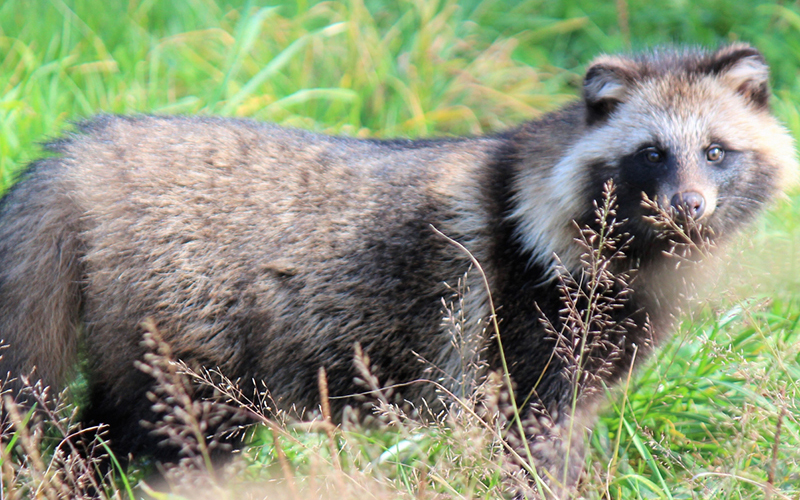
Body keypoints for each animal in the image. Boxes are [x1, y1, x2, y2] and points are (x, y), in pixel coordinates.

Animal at [0, 44, 796, 492]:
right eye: (651, 153)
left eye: (717, 151)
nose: (689, 206)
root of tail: (86, 153)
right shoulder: (523, 341)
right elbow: (533, 450)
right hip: (193, 365)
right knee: (156, 447)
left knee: (89, 444)